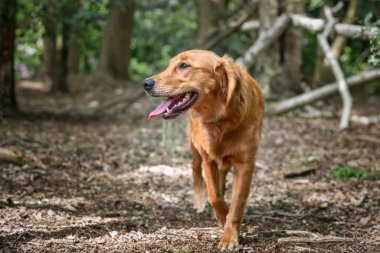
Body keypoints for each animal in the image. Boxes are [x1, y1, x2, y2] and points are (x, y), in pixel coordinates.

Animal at [143, 50, 264, 250]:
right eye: (170, 65)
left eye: (184, 65)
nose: (145, 83)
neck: (222, 120)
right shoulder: (208, 159)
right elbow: (214, 196)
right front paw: (221, 216)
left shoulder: (245, 164)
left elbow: (237, 205)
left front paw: (229, 237)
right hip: (195, 147)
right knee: (195, 170)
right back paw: (199, 200)